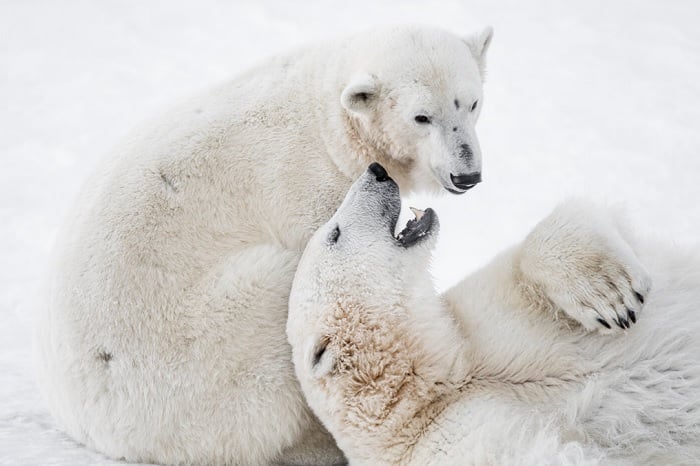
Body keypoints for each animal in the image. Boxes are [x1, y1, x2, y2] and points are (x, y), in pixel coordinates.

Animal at [35, 26, 494, 465]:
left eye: (472, 104)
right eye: (422, 117)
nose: (467, 175)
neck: (328, 121)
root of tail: (93, 426)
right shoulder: (307, 186)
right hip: (195, 349)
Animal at [287, 163, 700, 465]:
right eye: (335, 233)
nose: (377, 170)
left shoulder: (484, 318)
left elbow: (586, 219)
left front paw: (610, 294)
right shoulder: (458, 437)